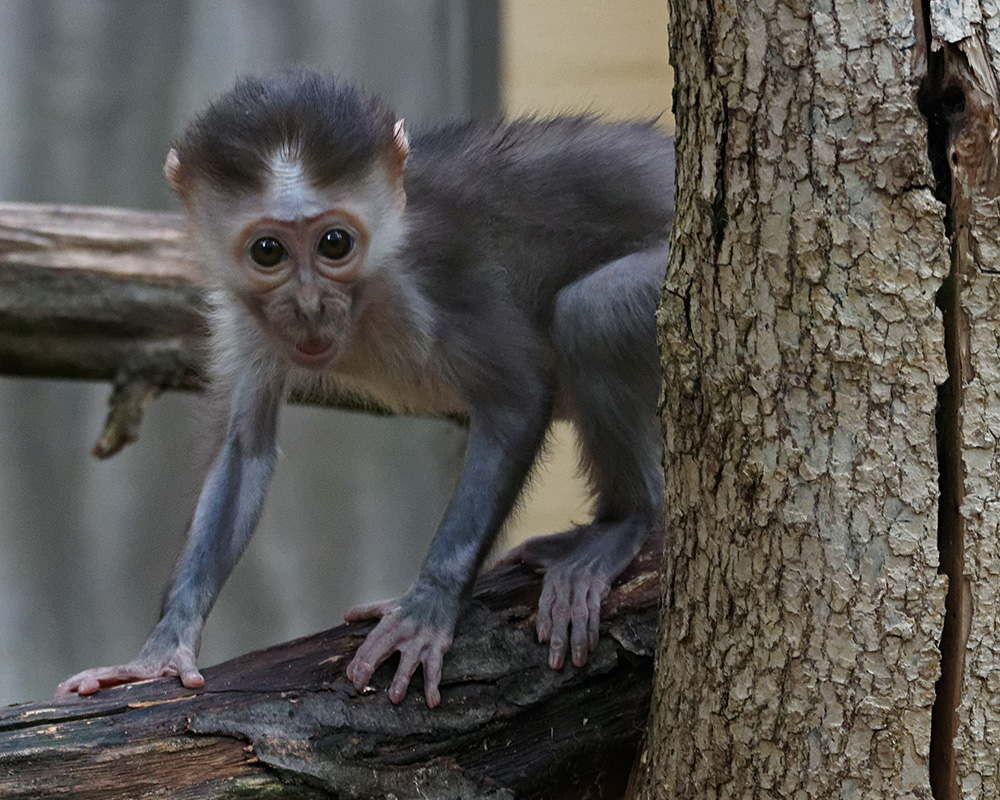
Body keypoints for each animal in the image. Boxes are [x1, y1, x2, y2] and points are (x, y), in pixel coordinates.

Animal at [58, 70, 676, 708]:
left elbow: (519, 394)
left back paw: (620, 525)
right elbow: (244, 449)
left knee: (593, 311)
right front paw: (159, 649)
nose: (309, 306)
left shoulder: (437, 275)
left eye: (335, 244)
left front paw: (427, 609)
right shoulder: (243, 312)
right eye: (268, 251)